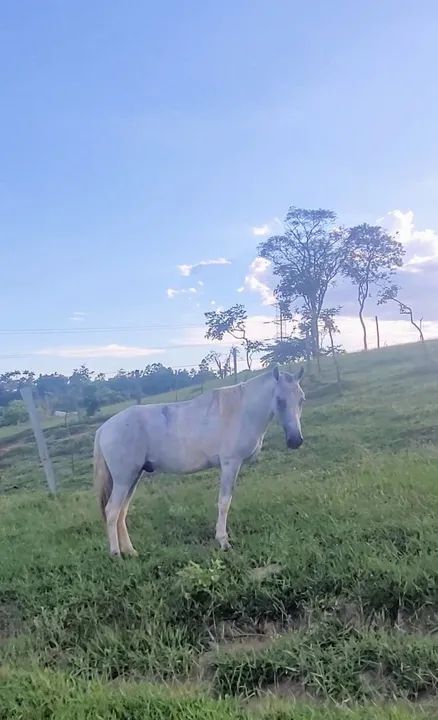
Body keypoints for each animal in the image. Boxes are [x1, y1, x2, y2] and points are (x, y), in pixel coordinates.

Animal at [93, 366, 305, 556]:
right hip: (124, 479)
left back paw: (130, 551)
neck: (241, 411)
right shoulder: (230, 464)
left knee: (121, 512)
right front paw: (223, 541)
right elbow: (224, 502)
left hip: (133, 477)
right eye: (280, 400)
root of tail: (104, 428)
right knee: (112, 511)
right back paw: (116, 554)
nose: (295, 440)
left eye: (301, 399)